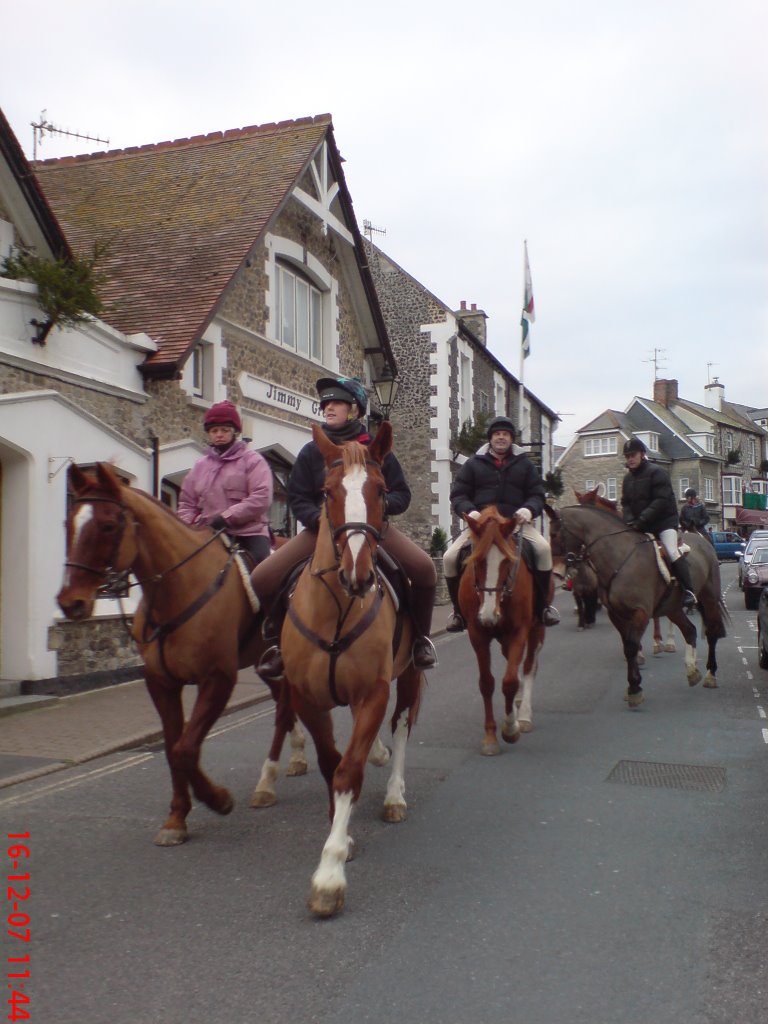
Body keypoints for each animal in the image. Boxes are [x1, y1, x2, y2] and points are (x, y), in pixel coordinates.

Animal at [56, 466, 307, 847]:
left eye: (108, 525)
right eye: (68, 523)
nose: (71, 602)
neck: (179, 588)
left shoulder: (218, 679)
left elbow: (184, 749)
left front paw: (217, 799)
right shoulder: (162, 683)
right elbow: (173, 748)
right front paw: (177, 818)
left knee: (285, 709)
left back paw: (270, 781)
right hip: (265, 663)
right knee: (284, 704)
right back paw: (291, 761)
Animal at [282, 419, 423, 917]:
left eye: (382, 490)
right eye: (327, 492)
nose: (358, 575)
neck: (337, 609)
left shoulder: (373, 693)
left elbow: (348, 771)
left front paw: (330, 873)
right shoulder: (306, 697)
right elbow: (331, 764)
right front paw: (338, 832)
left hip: (410, 674)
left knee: (402, 725)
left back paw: (395, 794)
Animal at [456, 503, 548, 753]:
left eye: (507, 562)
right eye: (477, 562)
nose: (489, 615)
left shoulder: (519, 632)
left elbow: (509, 681)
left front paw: (510, 729)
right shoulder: (477, 635)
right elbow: (487, 683)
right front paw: (490, 737)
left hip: (536, 629)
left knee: (528, 667)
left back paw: (523, 715)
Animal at [548, 505, 729, 712]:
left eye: (554, 534)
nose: (555, 572)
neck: (621, 558)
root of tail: (703, 541)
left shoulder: (640, 613)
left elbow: (631, 646)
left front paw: (634, 688)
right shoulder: (617, 615)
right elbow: (628, 647)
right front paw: (633, 685)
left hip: (709, 599)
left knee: (712, 633)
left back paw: (710, 674)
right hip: (672, 608)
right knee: (690, 630)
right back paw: (692, 671)